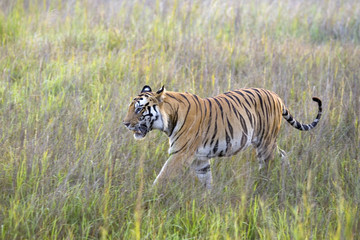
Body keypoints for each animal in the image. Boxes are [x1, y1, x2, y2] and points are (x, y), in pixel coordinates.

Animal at [122, 85, 322, 188]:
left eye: (139, 109)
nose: (125, 123)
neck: (169, 118)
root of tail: (276, 96)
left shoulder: (180, 154)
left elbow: (162, 177)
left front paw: (149, 197)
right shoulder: (200, 159)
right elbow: (207, 181)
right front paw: (206, 202)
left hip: (265, 143)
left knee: (268, 164)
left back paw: (264, 187)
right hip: (267, 142)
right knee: (283, 155)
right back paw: (287, 177)